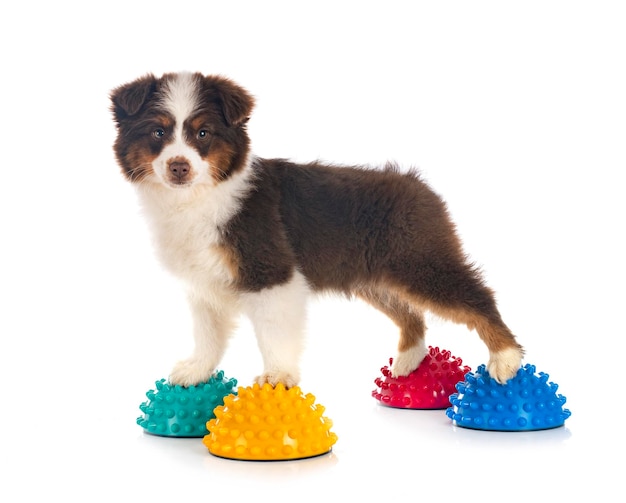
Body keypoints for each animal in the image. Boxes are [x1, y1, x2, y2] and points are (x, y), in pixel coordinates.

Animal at [108, 71, 520, 388]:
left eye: (204, 133)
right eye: (158, 133)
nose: (179, 166)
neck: (199, 196)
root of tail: (419, 185)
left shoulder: (271, 271)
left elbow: (273, 333)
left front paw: (278, 376)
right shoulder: (203, 281)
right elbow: (207, 331)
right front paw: (196, 371)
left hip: (420, 260)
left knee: (477, 296)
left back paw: (507, 358)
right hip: (376, 277)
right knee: (410, 314)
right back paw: (407, 362)